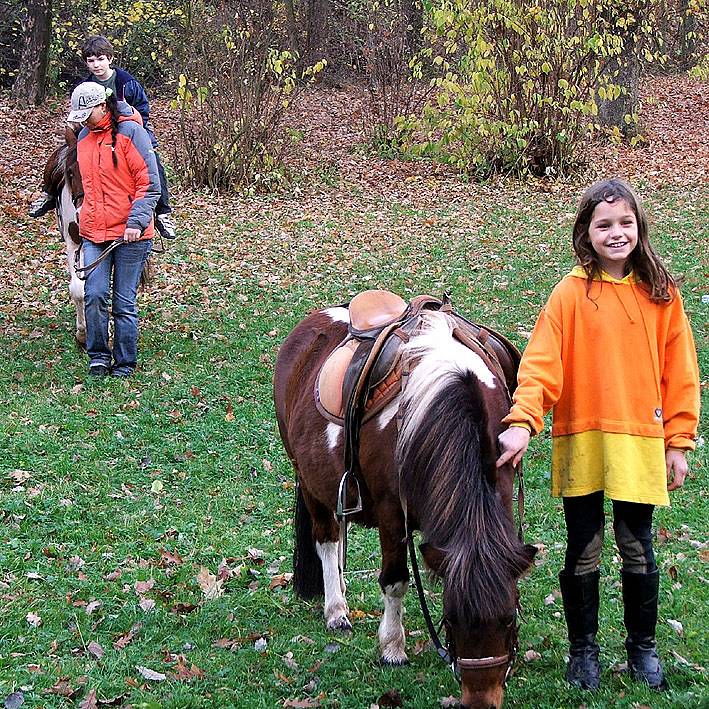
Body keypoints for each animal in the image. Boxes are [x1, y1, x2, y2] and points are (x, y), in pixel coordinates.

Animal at [274, 300, 532, 708]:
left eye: (508, 618)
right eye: (452, 619)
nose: (480, 702)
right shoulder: (393, 514)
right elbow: (395, 581)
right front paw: (393, 648)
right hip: (310, 482)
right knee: (327, 540)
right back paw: (336, 610)